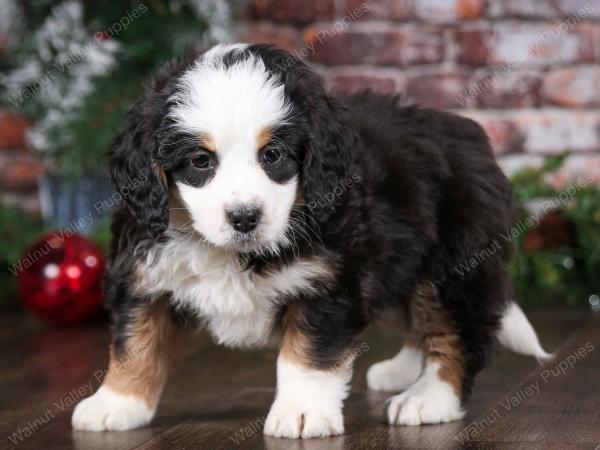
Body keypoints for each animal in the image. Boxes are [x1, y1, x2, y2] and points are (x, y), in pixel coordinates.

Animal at [72, 44, 552, 438]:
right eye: (200, 161)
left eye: (273, 155)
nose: (244, 217)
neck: (234, 252)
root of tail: (470, 137)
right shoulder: (142, 274)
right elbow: (135, 343)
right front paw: (115, 403)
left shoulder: (327, 282)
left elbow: (308, 354)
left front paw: (302, 412)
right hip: (404, 261)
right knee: (417, 317)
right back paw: (400, 371)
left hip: (452, 264)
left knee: (458, 333)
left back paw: (427, 397)